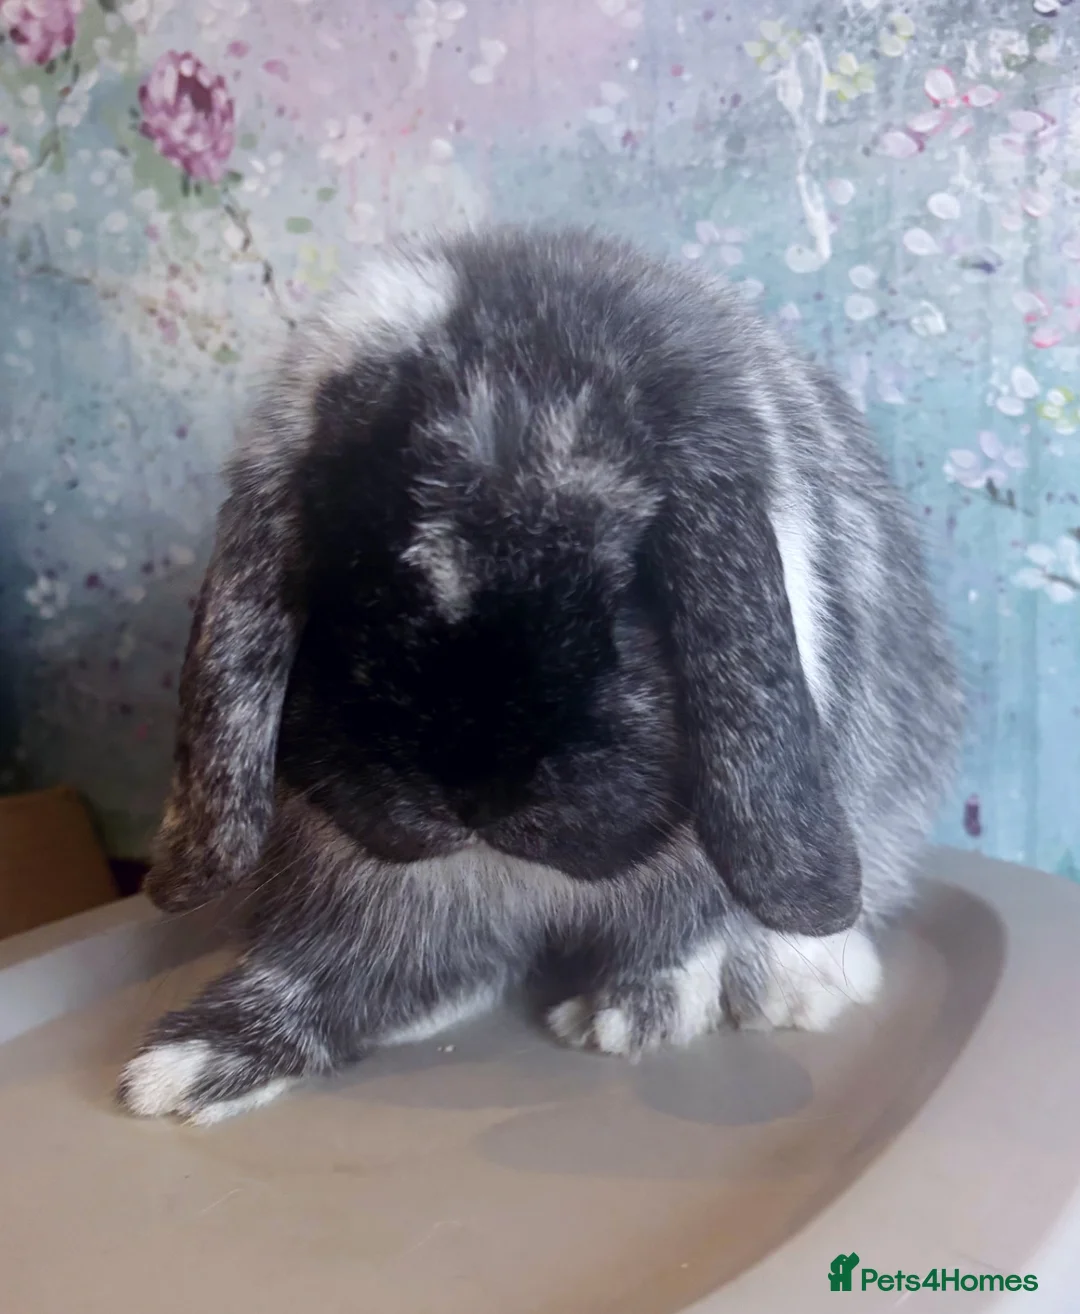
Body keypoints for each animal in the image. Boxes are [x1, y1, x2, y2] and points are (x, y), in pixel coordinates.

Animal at [118, 225, 962, 1124]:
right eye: (351, 573)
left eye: (626, 591)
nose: (477, 793)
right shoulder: (379, 894)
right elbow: (338, 973)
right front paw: (186, 1066)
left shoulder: (704, 876)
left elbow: (684, 937)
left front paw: (631, 1016)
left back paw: (780, 991)